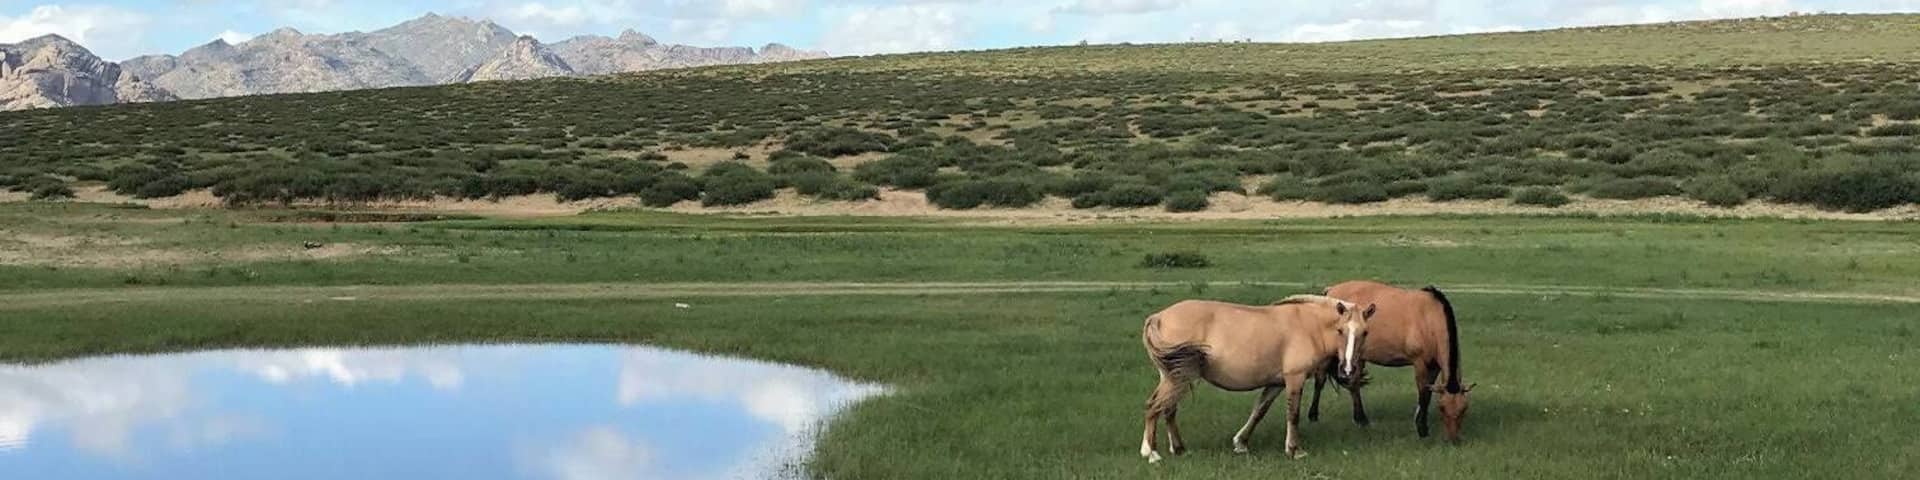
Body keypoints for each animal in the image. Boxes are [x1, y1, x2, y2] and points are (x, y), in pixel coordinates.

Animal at [1139, 295, 1376, 462]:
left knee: (1168, 409)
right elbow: (1293, 415)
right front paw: (1295, 450)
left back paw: (1179, 449)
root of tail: (1158, 317)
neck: (1308, 325)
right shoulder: (1295, 379)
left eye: (1365, 332)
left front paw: (1241, 443)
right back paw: (1151, 453)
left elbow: (1258, 411)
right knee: (1153, 407)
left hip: (1176, 376)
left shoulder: (1275, 383)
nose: (1347, 369)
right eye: (1340, 330)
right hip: (1176, 378)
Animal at [1309, 281, 1474, 442]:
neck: (1429, 319)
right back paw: (1314, 415)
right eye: (1442, 408)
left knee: (1354, 385)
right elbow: (1423, 394)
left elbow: (1427, 393)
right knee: (1321, 380)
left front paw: (1421, 422)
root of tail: (1330, 290)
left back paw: (1361, 419)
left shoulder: (1434, 366)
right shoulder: (1419, 363)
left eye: (1464, 409)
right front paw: (1421, 429)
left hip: (1358, 357)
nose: (1453, 439)